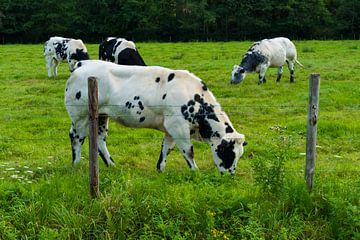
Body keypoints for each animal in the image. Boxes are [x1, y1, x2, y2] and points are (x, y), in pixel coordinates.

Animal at [64, 60, 246, 174]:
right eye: (229, 154)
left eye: (240, 155)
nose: (230, 175)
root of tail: (82, 64)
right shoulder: (178, 127)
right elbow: (188, 150)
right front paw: (195, 171)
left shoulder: (170, 129)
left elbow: (166, 148)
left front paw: (161, 169)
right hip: (80, 116)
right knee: (77, 137)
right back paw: (76, 164)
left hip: (101, 115)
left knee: (100, 139)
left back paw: (112, 165)